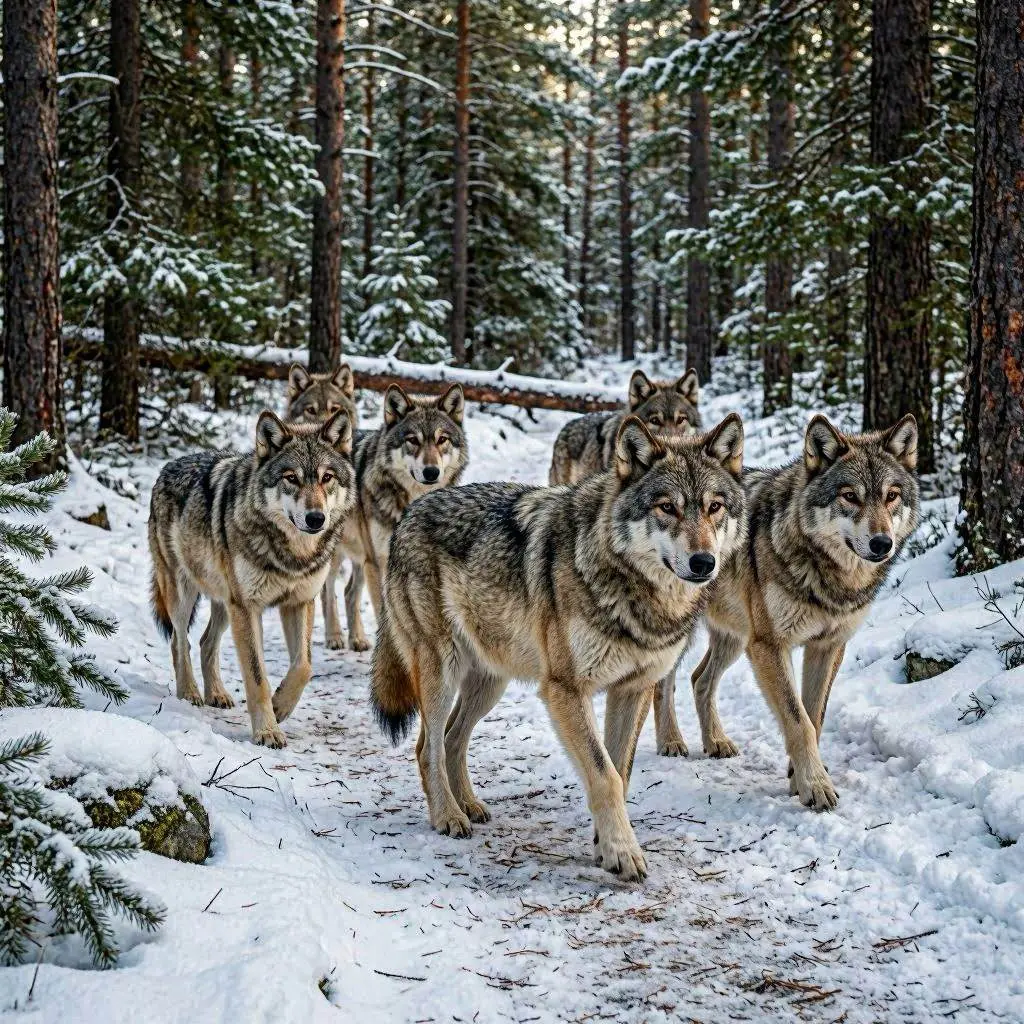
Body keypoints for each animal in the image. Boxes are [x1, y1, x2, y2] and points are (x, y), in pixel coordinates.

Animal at [149, 409, 355, 747]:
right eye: (291, 478)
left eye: (327, 478)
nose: (316, 518)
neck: (292, 555)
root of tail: (168, 465)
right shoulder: (248, 608)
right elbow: (257, 677)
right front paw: (267, 731)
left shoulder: (299, 602)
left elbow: (304, 666)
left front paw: (280, 706)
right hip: (184, 594)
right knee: (181, 643)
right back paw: (189, 693)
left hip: (225, 603)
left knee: (205, 641)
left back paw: (216, 694)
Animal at [332, 383, 468, 652]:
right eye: (413, 440)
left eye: (442, 439)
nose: (431, 472)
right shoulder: (378, 562)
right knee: (326, 592)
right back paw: (333, 637)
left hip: (360, 557)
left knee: (349, 592)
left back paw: (357, 639)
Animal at [371, 413, 746, 881]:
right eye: (667, 507)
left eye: (715, 507)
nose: (703, 563)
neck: (635, 594)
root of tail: (408, 514)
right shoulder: (566, 690)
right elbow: (604, 775)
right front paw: (624, 853)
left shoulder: (633, 689)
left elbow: (620, 772)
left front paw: (605, 848)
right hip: (442, 670)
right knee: (428, 747)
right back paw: (448, 817)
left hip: (490, 682)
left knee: (454, 739)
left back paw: (470, 805)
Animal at [663, 413, 920, 810]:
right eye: (850, 496)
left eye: (891, 496)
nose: (882, 543)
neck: (830, 580)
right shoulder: (770, 646)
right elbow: (798, 720)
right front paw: (815, 786)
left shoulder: (827, 646)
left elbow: (814, 717)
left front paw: (798, 776)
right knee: (665, 684)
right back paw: (671, 742)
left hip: (736, 639)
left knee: (699, 679)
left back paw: (716, 742)